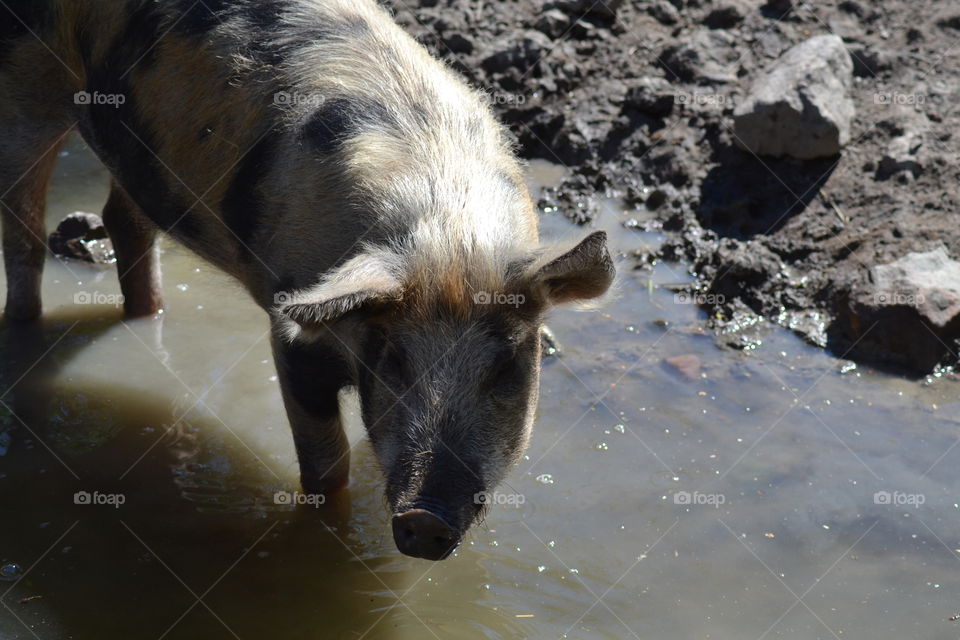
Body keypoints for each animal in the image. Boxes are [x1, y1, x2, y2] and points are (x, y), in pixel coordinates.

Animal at [0, 0, 614, 560]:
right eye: (394, 360)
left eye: (507, 366)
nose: (424, 518)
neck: (446, 229)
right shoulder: (291, 332)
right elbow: (326, 469)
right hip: (25, 85)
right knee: (23, 235)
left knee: (124, 220)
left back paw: (147, 314)